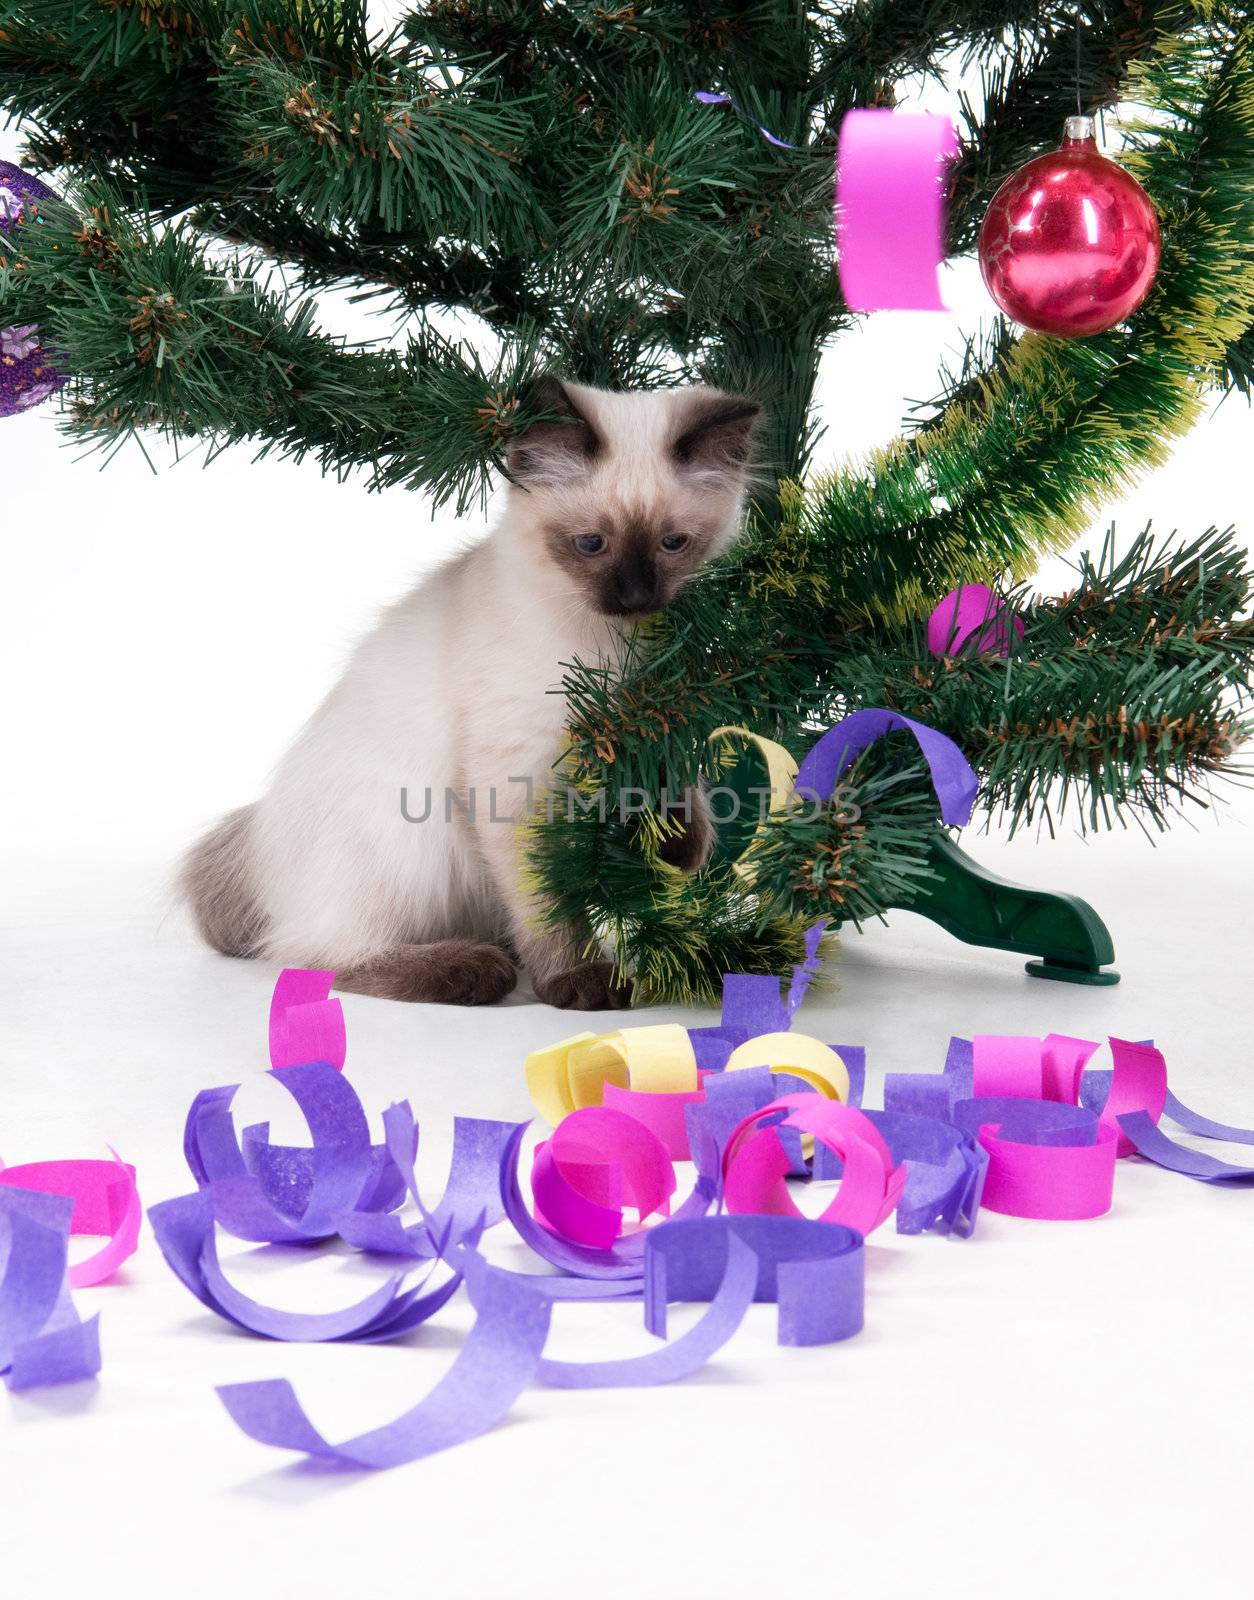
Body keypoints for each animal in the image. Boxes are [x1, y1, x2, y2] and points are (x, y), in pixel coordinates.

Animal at [179, 376, 758, 1004]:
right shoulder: (519, 778)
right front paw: (580, 979)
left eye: (673, 544)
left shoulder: (655, 709)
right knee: (321, 957)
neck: (619, 649)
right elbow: (548, 902)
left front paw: (676, 845)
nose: (634, 597)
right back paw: (475, 969)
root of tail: (262, 847)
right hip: (406, 846)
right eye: (591, 544)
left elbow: (675, 775)